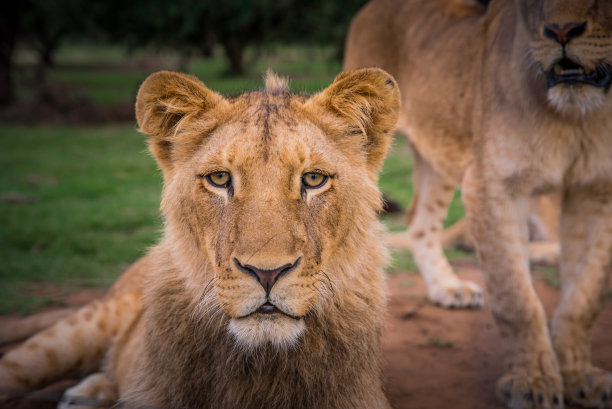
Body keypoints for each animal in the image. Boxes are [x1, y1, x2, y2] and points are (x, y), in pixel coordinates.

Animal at [346, 0, 608, 408]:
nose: (562, 32)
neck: (573, 114)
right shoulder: (493, 186)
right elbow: (516, 295)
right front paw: (531, 381)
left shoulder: (594, 190)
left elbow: (584, 296)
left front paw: (580, 377)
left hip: (440, 154)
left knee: (420, 220)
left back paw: (447, 287)